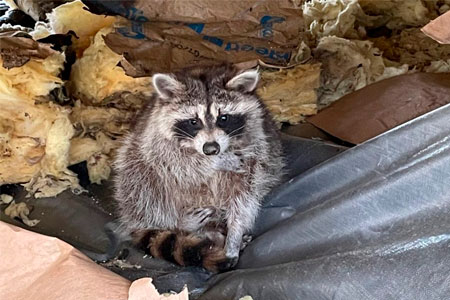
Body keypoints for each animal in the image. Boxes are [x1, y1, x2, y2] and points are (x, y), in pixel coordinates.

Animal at [113, 63, 284, 272]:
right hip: (134, 162)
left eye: (223, 118)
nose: (211, 149)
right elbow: (175, 161)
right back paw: (182, 223)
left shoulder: (259, 144)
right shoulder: (154, 136)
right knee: (141, 183)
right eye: (193, 121)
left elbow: (244, 197)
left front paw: (234, 233)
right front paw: (217, 162)